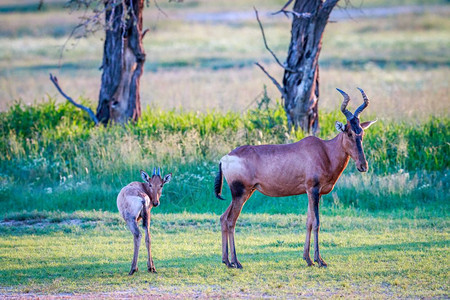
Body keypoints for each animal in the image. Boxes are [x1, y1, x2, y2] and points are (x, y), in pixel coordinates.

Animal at [214, 88, 376, 268]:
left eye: (361, 132)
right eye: (349, 133)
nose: (363, 166)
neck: (325, 150)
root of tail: (225, 158)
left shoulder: (314, 193)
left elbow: (309, 222)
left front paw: (308, 259)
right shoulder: (313, 189)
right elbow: (317, 222)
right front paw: (320, 260)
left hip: (244, 193)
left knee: (223, 218)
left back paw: (226, 261)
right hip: (240, 193)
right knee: (231, 221)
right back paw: (236, 262)